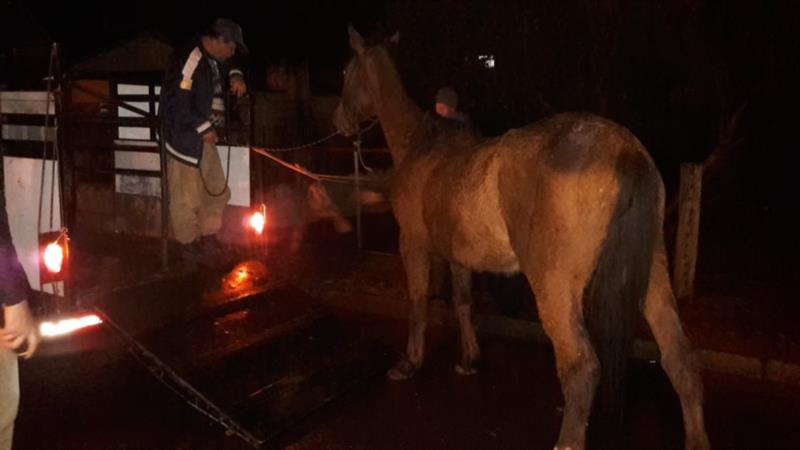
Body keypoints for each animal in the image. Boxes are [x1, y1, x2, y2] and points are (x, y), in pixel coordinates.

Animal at [334, 28, 708, 450]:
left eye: (346, 70)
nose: (339, 121)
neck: (420, 147)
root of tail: (624, 150)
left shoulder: (412, 244)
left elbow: (418, 301)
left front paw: (409, 363)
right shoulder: (459, 255)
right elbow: (464, 303)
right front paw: (470, 360)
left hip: (554, 287)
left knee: (581, 370)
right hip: (652, 274)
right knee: (679, 358)